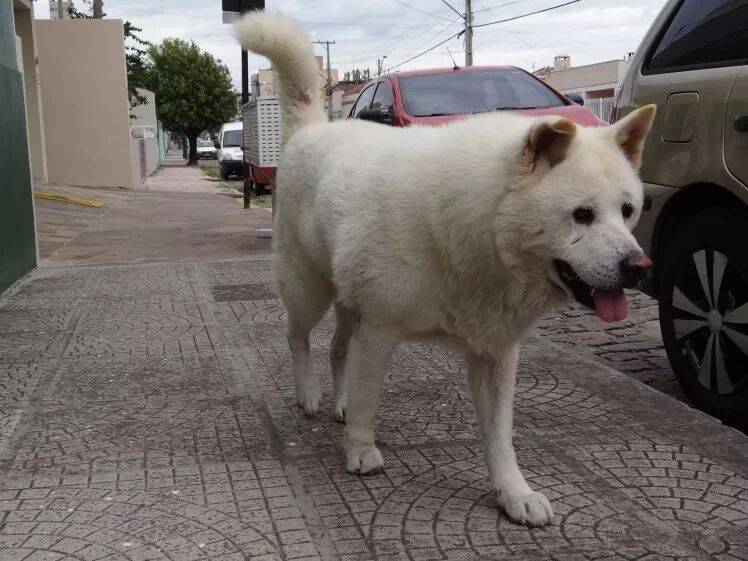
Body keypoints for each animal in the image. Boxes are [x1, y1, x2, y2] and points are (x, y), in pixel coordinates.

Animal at [235, 14, 656, 528]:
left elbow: (499, 436)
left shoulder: (495, 353)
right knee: (296, 337)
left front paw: (513, 493)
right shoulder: (380, 330)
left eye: (628, 211)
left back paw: (338, 401)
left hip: (348, 298)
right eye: (582, 215)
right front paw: (360, 451)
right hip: (309, 288)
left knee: (337, 350)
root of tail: (310, 128)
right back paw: (311, 395)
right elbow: (369, 397)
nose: (638, 267)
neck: (475, 228)